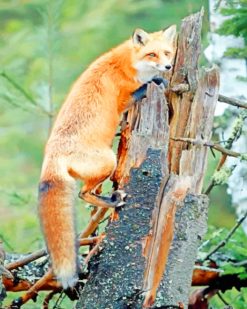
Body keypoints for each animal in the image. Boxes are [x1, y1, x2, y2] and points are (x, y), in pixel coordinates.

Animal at [38, 25, 177, 288]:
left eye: (166, 52)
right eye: (152, 54)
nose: (168, 67)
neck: (126, 63)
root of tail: (51, 156)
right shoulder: (123, 98)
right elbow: (143, 88)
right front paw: (157, 81)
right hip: (108, 161)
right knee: (83, 194)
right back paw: (113, 202)